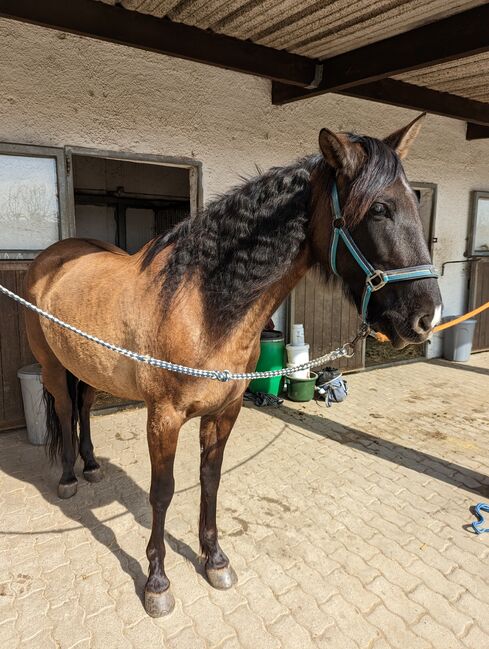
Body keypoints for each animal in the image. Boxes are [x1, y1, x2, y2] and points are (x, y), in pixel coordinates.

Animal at [23, 114, 442, 616]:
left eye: (415, 204)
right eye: (379, 209)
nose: (425, 317)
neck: (199, 307)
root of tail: (54, 257)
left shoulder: (225, 411)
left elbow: (210, 479)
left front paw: (215, 560)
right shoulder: (163, 418)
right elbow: (162, 493)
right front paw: (157, 582)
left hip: (86, 365)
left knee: (84, 407)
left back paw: (89, 466)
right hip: (51, 366)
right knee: (67, 410)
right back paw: (69, 477)